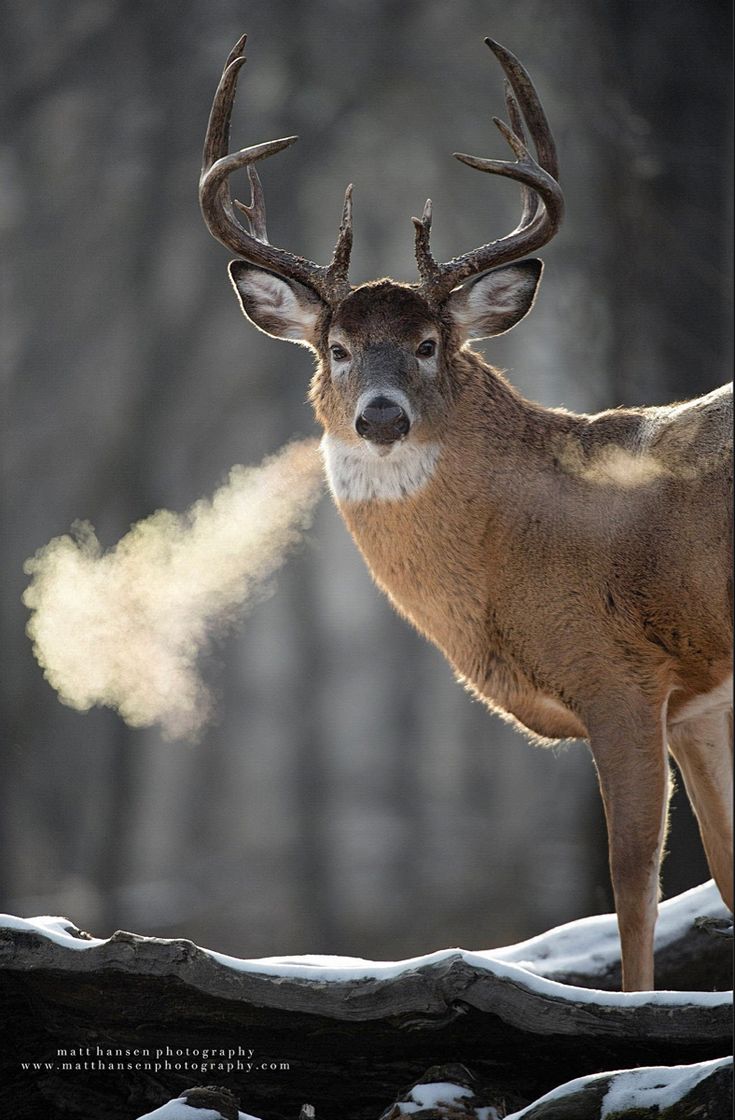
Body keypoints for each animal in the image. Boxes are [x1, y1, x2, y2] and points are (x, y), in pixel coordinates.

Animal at [198, 32, 730, 990]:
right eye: (336, 348)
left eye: (426, 344)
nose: (380, 417)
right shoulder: (699, 699)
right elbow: (725, 866)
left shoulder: (623, 678)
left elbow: (632, 881)